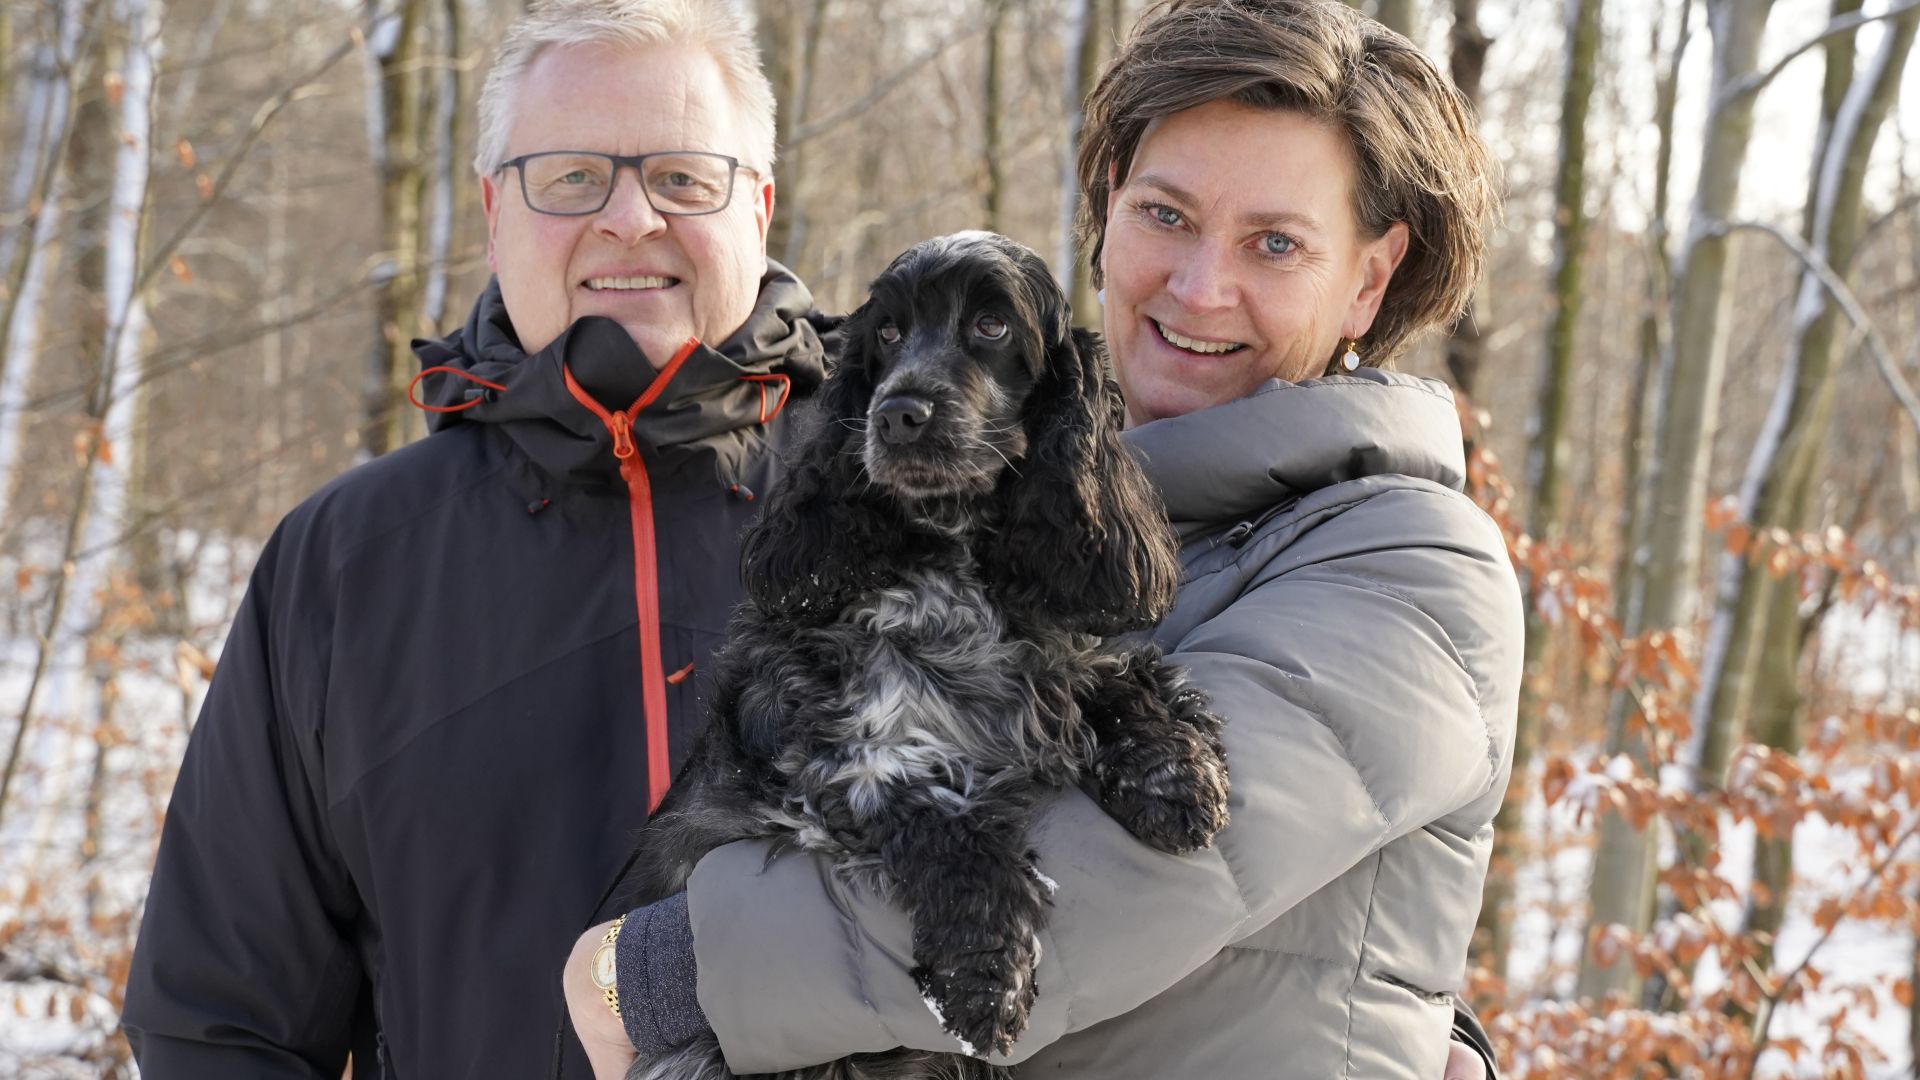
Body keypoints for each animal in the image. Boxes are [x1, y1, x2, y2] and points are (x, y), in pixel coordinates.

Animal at [629, 231, 1228, 1076]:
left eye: (992, 325)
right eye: (885, 332)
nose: (897, 414)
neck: (950, 555)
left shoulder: (1055, 659)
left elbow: (1109, 679)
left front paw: (1172, 776)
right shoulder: (837, 766)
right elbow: (949, 829)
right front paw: (985, 982)